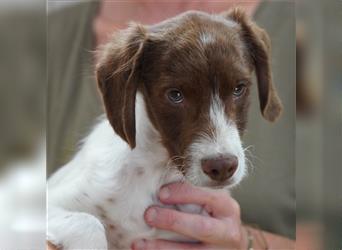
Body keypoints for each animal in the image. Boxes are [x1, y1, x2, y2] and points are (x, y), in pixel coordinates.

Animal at [48, 8, 284, 250]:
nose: (222, 167)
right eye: (175, 95)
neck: (161, 172)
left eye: (239, 88)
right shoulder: (55, 200)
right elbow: (89, 224)